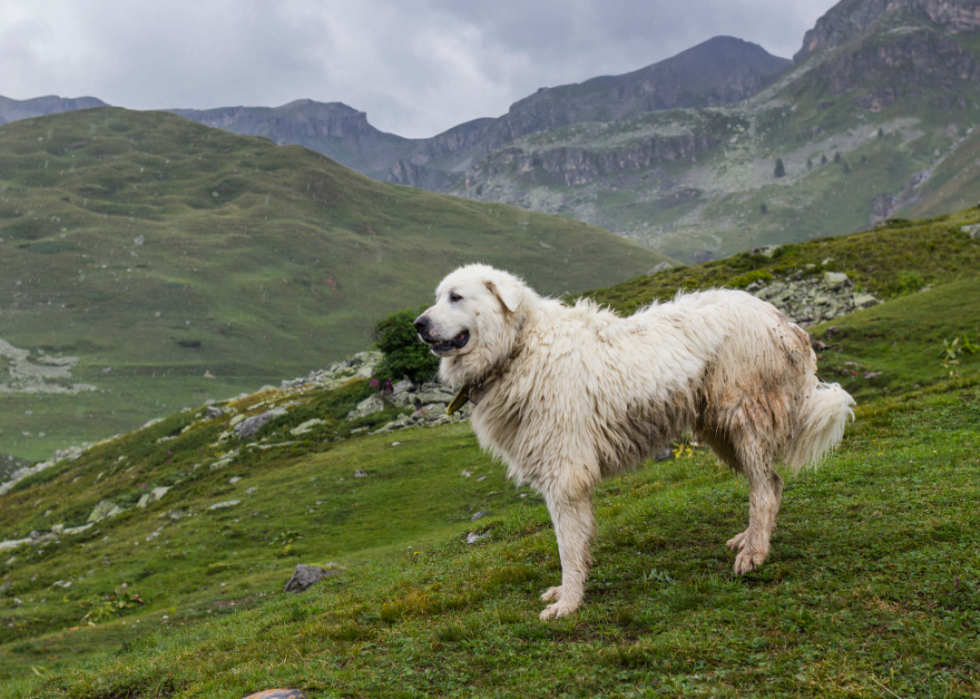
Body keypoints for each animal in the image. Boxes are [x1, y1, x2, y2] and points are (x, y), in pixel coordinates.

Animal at [414, 266, 848, 620]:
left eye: (456, 297)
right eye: (438, 296)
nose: (418, 324)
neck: (519, 348)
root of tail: (781, 319)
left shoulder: (564, 475)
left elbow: (567, 546)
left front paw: (568, 603)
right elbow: (577, 543)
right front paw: (567, 593)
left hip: (745, 419)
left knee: (764, 488)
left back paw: (754, 553)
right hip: (721, 431)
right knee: (771, 484)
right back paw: (750, 539)